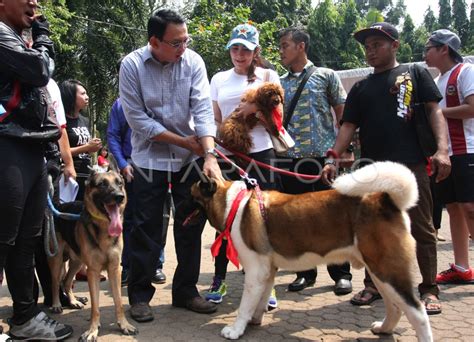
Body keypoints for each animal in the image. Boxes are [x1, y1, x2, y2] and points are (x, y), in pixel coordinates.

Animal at [48, 172, 137, 340]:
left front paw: (124, 324)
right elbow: (95, 306)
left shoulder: (115, 270)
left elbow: (119, 303)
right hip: (56, 260)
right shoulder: (93, 272)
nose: (119, 197)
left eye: (120, 183)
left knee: (67, 281)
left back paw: (73, 301)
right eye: (102, 184)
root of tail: (60, 205)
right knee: (56, 283)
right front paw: (92, 330)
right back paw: (56, 304)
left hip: (77, 263)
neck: (104, 229)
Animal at [184, 162, 434, 340]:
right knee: (396, 307)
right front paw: (255, 319)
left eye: (190, 196)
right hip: (379, 271)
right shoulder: (267, 270)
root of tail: (385, 200)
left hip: (388, 271)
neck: (235, 204)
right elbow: (261, 298)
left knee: (418, 313)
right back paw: (383, 329)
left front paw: (236, 329)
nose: (177, 205)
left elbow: (245, 304)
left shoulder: (255, 270)